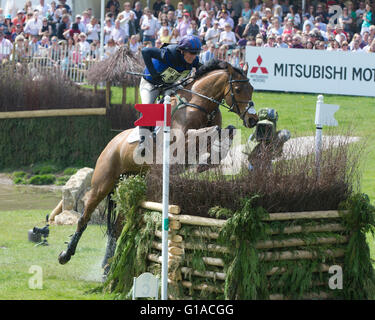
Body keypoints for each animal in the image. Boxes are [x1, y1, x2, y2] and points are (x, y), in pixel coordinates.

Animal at [58, 59, 258, 264]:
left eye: (251, 88)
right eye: (239, 89)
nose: (253, 119)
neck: (198, 105)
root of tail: (111, 144)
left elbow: (227, 130)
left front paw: (208, 162)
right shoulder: (180, 143)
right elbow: (211, 132)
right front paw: (205, 161)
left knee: (117, 228)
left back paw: (107, 266)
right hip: (102, 183)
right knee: (84, 218)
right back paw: (66, 254)